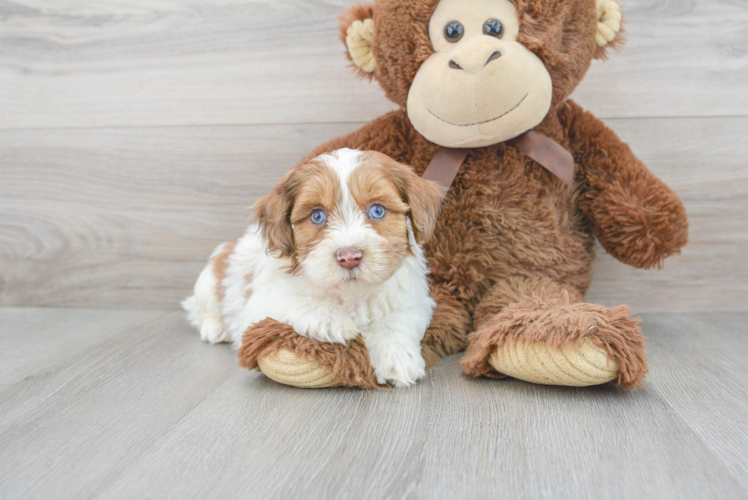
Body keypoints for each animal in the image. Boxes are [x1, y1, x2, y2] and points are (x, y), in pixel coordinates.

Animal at [184, 147, 444, 386]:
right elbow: (294, 299)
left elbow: (397, 321)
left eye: (377, 210)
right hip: (207, 284)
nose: (349, 257)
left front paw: (397, 358)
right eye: (317, 216)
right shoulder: (262, 302)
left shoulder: (413, 299)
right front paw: (331, 320)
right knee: (201, 310)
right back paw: (215, 327)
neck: (351, 293)